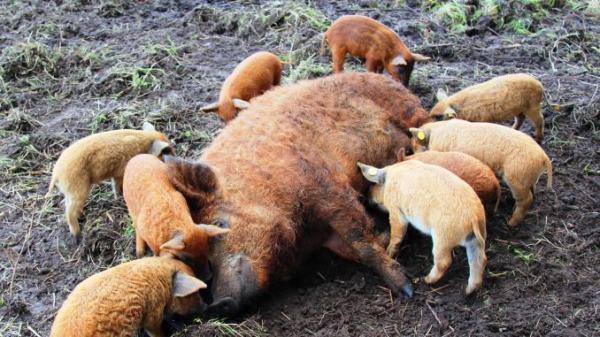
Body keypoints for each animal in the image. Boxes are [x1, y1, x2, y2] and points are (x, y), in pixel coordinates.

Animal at [166, 71, 432, 316]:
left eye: (219, 224)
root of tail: (386, 79)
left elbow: (360, 239)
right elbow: (348, 248)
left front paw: (406, 289)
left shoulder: (324, 186)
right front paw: (384, 234)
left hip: (411, 113)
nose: (217, 305)